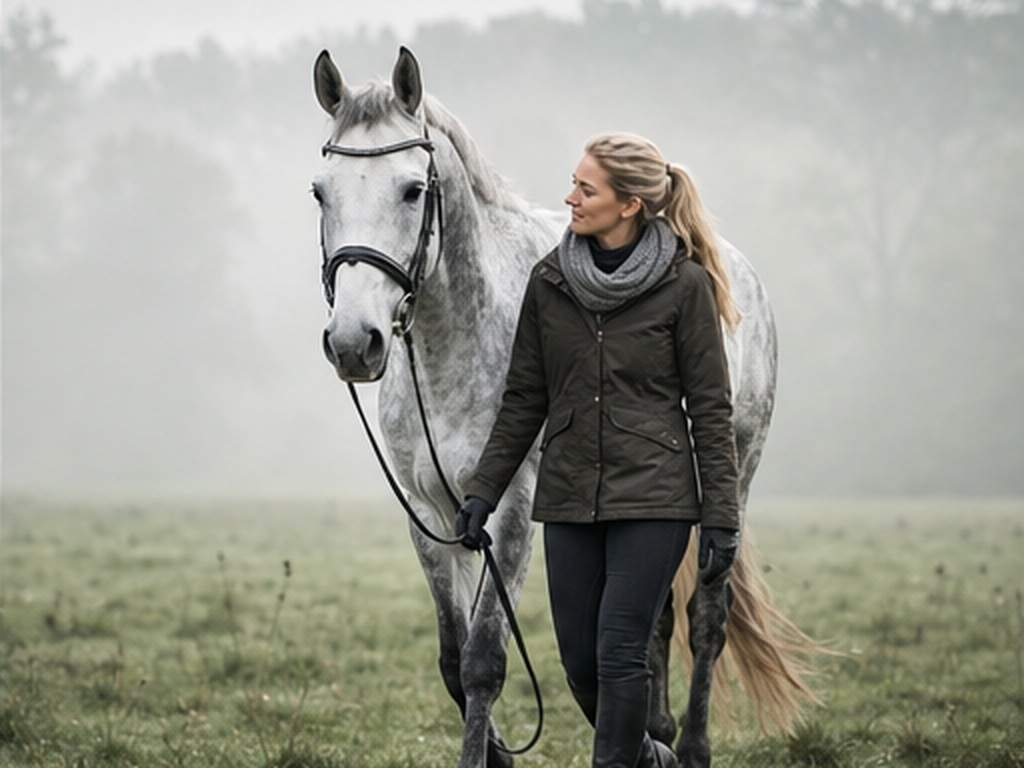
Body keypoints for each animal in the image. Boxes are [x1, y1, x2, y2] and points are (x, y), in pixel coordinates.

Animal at [312, 45, 824, 768]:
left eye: (413, 190)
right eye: (320, 191)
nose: (355, 342)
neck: (455, 346)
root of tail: (737, 273)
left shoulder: (512, 512)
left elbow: (484, 662)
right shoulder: (431, 517)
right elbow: (452, 660)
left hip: (734, 479)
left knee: (705, 620)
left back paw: (691, 746)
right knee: (651, 621)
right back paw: (657, 732)